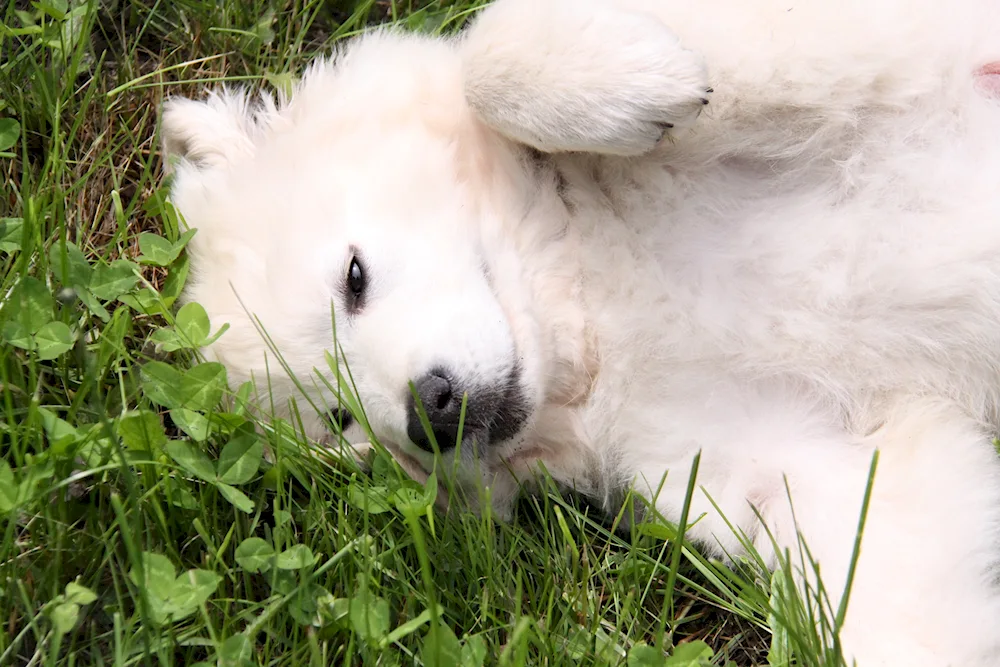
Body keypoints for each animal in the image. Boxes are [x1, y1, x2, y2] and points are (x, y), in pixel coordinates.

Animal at [160, 0, 1000, 664]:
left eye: (354, 278)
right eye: (343, 424)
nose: (430, 412)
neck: (592, 304)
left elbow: (491, 58)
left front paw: (643, 81)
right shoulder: (788, 461)